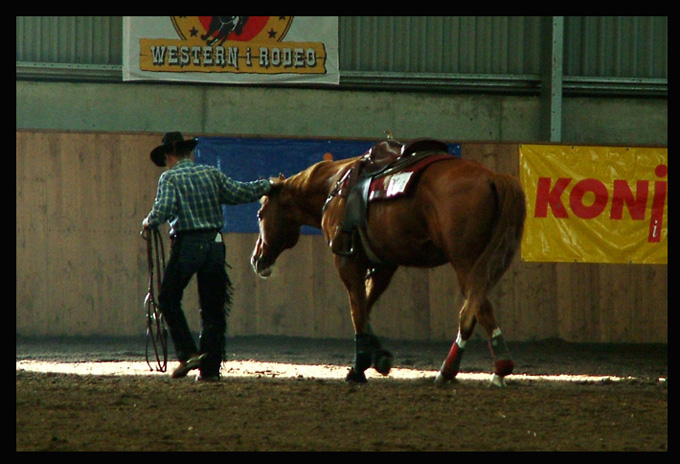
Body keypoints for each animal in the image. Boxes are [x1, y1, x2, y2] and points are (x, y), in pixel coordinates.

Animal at [250, 147, 524, 386]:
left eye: (261, 214)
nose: (256, 259)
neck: (334, 188)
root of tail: (492, 177)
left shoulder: (347, 262)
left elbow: (357, 311)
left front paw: (358, 367)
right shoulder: (383, 265)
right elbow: (365, 306)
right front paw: (379, 356)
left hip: (466, 264)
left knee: (476, 311)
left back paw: (466, 370)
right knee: (477, 309)